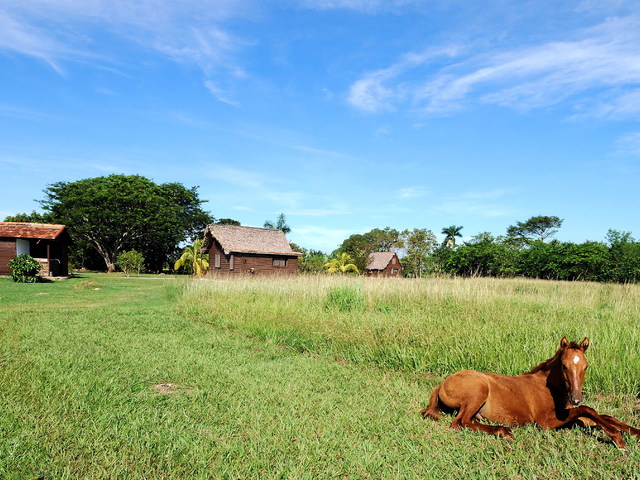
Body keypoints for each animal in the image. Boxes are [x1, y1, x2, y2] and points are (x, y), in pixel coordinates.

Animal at [420, 338, 640, 450]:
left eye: (586, 366)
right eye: (564, 365)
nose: (575, 398)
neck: (550, 388)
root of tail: (442, 383)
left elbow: (603, 415)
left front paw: (634, 432)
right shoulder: (546, 422)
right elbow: (588, 409)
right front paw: (617, 438)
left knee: (469, 421)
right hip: (478, 391)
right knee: (459, 423)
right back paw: (504, 431)